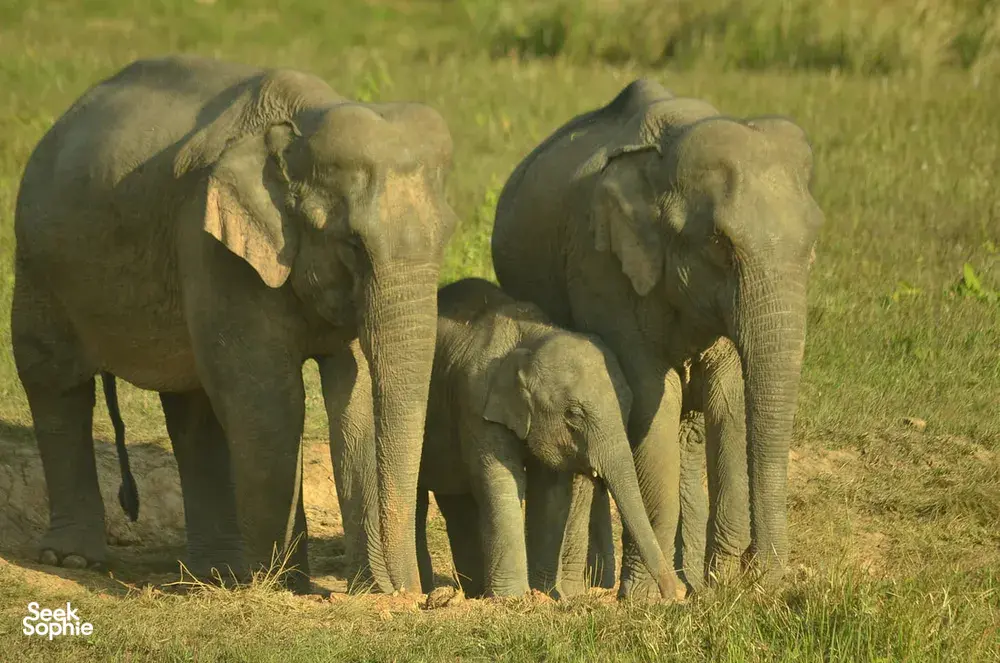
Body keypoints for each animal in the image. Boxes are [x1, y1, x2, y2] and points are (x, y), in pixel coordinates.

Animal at [11, 55, 457, 593]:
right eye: (352, 244)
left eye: (447, 236)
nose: (413, 592)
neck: (302, 120)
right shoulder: (212, 245)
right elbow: (267, 401)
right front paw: (291, 589)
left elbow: (355, 397)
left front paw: (366, 591)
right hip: (39, 261)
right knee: (54, 380)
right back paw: (75, 560)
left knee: (193, 409)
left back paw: (216, 573)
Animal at [323, 277, 678, 599]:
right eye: (574, 414)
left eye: (629, 405)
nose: (673, 595)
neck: (531, 338)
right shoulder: (475, 402)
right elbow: (500, 480)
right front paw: (513, 599)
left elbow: (551, 492)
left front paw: (545, 596)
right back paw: (431, 590)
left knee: (459, 502)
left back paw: (474, 592)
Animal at [491, 78, 823, 597]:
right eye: (720, 243)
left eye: (813, 243)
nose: (758, 568)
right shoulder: (603, 268)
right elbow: (653, 398)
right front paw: (648, 598)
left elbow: (728, 398)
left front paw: (719, 586)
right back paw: (596, 584)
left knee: (688, 431)